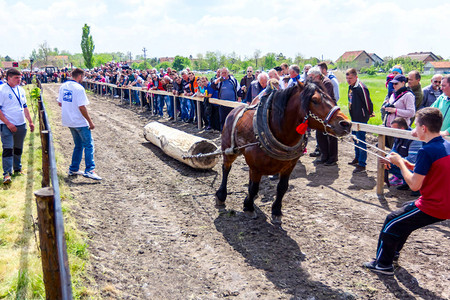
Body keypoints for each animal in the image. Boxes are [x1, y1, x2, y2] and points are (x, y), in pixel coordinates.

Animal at [214, 81, 352, 224]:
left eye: (331, 98)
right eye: (315, 100)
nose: (346, 123)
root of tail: (234, 110)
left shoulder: (289, 165)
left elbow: (282, 187)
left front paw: (276, 211)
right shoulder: (256, 167)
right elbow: (254, 187)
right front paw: (249, 207)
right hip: (229, 149)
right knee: (226, 168)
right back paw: (221, 195)